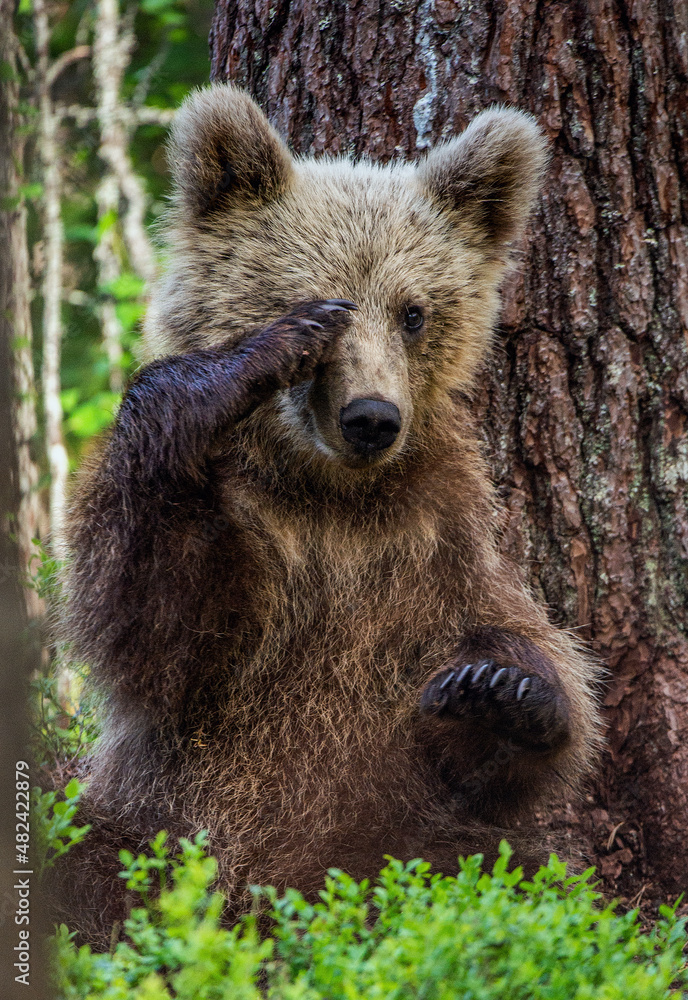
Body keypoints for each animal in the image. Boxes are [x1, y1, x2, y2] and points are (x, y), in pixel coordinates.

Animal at [52, 84, 602, 947]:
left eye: (414, 311)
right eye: (319, 302)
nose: (371, 418)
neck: (330, 498)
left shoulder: (436, 543)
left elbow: (528, 670)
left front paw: (502, 689)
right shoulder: (250, 550)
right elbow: (157, 628)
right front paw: (237, 368)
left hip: (404, 846)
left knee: (501, 877)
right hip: (141, 823)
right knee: (79, 862)